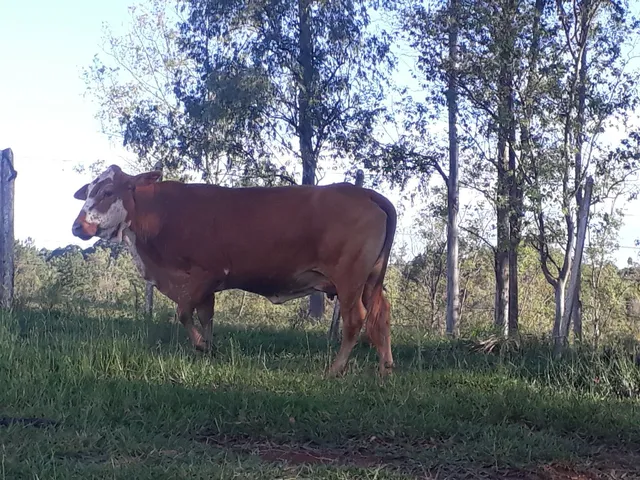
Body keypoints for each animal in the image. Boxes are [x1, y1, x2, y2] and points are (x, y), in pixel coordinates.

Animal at [71, 165, 397, 376]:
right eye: (88, 192)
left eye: (108, 191)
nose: (77, 226)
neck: (161, 213)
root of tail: (365, 193)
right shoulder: (205, 287)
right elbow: (206, 316)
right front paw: (208, 347)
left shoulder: (204, 275)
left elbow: (184, 312)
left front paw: (201, 345)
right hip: (371, 280)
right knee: (381, 314)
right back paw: (385, 367)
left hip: (350, 280)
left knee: (355, 320)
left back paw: (335, 369)